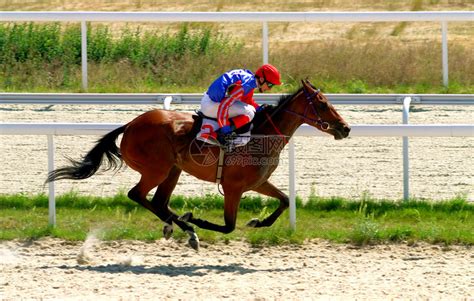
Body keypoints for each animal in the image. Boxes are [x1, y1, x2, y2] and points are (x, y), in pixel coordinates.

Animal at [47, 79, 348, 248]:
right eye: (322, 104)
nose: (345, 128)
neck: (261, 134)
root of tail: (131, 124)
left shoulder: (258, 182)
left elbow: (285, 200)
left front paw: (257, 222)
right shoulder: (233, 187)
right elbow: (228, 226)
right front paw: (196, 218)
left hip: (173, 170)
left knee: (158, 202)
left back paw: (182, 229)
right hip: (157, 169)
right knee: (137, 194)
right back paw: (185, 226)